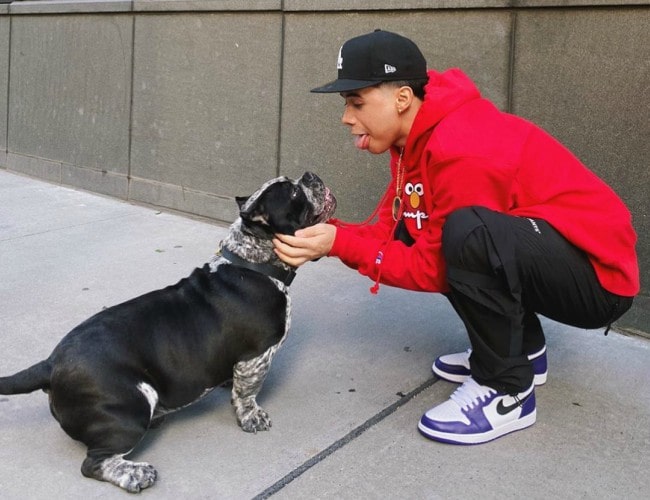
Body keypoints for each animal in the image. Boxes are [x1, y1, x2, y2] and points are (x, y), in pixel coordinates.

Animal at [0, 172, 334, 492]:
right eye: (294, 192)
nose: (309, 173)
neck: (251, 262)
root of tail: (51, 363)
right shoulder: (256, 356)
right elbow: (248, 393)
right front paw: (252, 416)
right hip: (132, 404)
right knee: (95, 462)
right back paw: (136, 474)